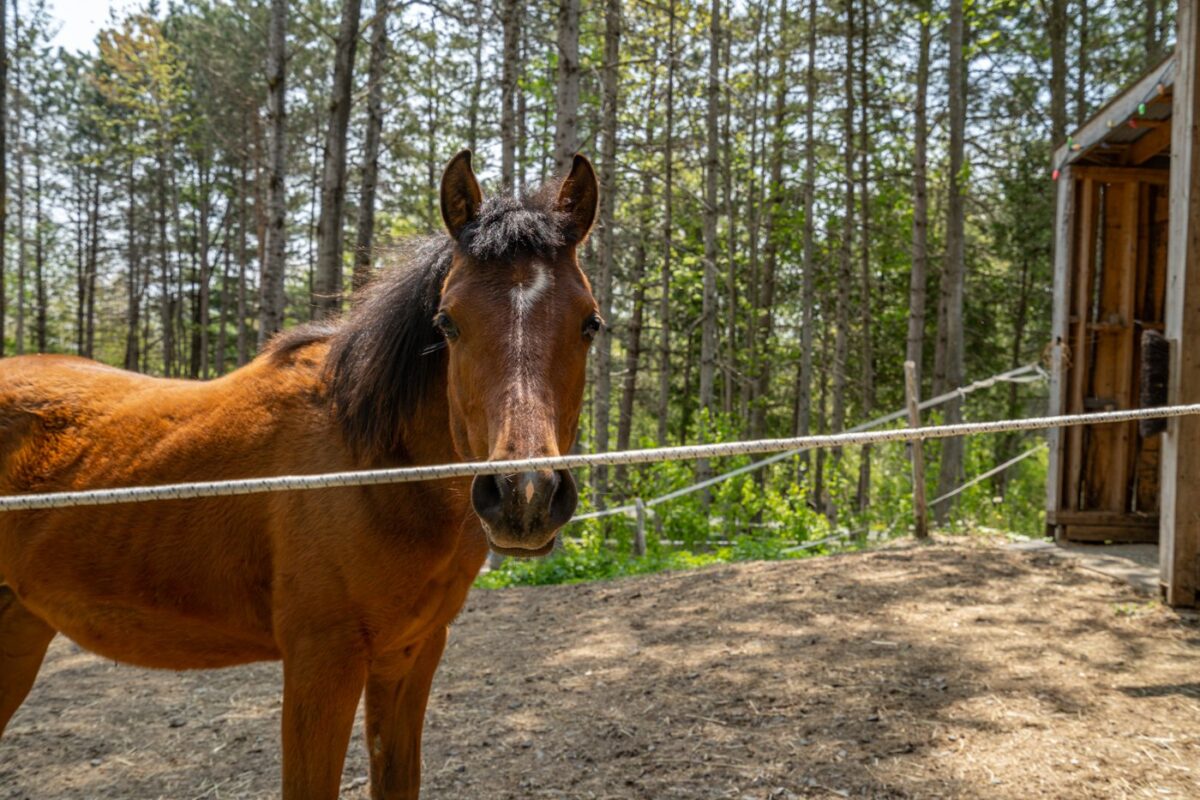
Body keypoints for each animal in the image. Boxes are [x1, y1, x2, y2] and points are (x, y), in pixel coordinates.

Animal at [0, 151, 600, 800]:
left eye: (590, 324)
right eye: (448, 323)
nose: (524, 496)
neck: (371, 470)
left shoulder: (410, 655)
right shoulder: (321, 664)